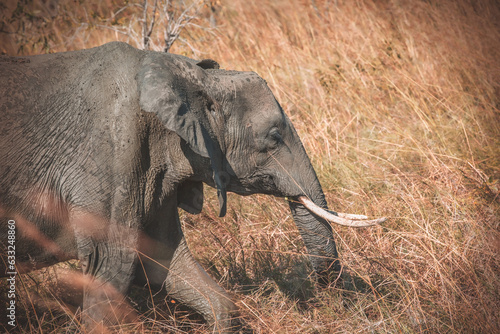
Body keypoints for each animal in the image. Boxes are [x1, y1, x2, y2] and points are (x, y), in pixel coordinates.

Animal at [0, 41, 386, 332]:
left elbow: (163, 263)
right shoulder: (110, 157)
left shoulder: (150, 174)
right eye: (274, 137)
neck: (186, 76)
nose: (332, 300)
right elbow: (109, 268)